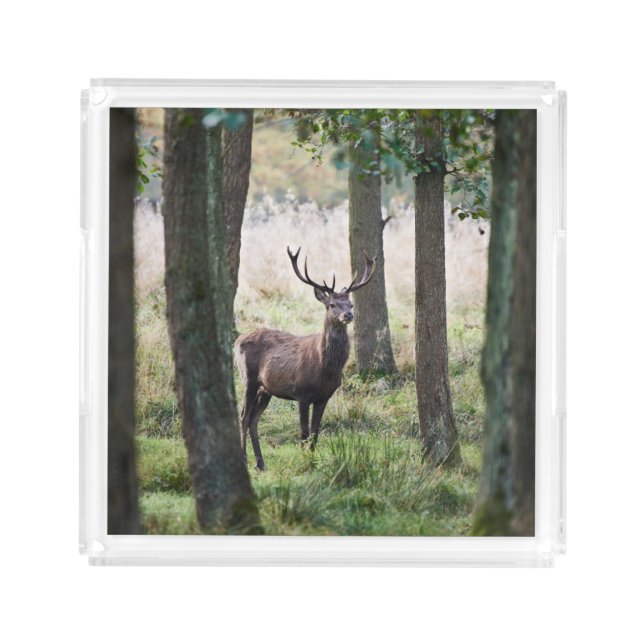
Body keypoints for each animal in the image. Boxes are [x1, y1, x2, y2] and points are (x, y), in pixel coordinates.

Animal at [234, 246, 376, 470]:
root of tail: (237, 340)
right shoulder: (301, 393)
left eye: (350, 304)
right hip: (248, 378)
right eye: (332, 304)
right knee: (244, 417)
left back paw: (261, 463)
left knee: (254, 419)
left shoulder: (324, 397)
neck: (325, 369)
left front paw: (313, 460)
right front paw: (305, 462)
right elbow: (303, 432)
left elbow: (315, 433)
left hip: (266, 389)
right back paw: (245, 459)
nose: (348, 315)